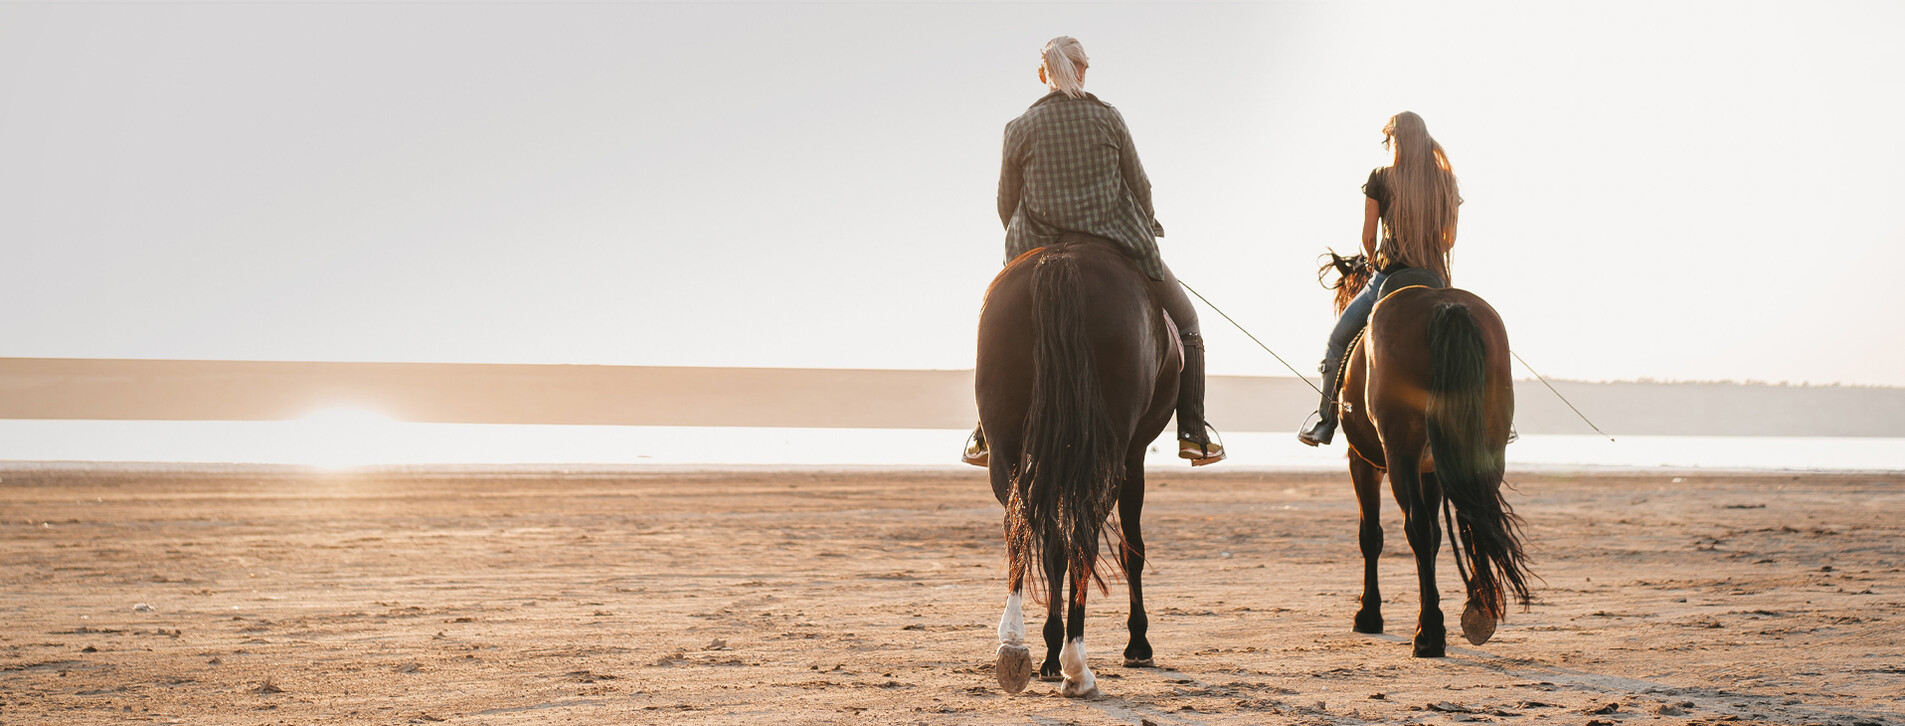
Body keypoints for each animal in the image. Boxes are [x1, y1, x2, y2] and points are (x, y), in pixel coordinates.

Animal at [975, 236, 1181, 697]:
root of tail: (1061, 258)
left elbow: (1050, 546)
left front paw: (1048, 653)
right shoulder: (1134, 456)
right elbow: (1131, 549)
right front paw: (1138, 645)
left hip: (1006, 448)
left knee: (1023, 529)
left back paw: (1016, 646)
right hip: (1106, 459)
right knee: (1082, 538)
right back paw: (1077, 666)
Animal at [1325, 251, 1531, 651]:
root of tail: (1447, 307)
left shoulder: (1363, 462)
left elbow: (1371, 535)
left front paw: (1368, 614)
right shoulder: (1431, 470)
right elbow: (1437, 535)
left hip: (1399, 455)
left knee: (1416, 527)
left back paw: (1429, 633)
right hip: (1485, 450)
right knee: (1478, 521)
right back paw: (1478, 614)